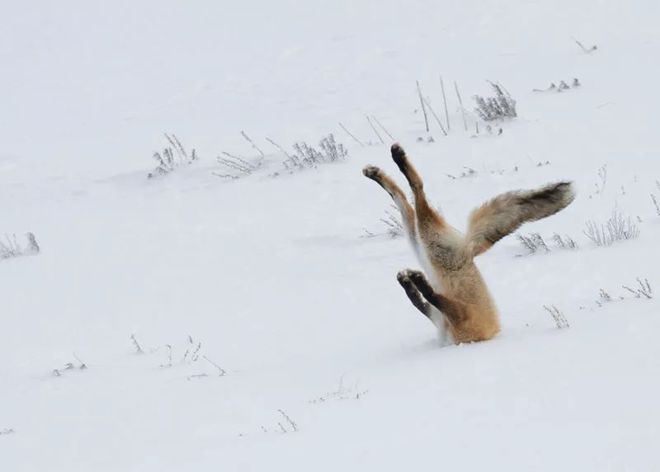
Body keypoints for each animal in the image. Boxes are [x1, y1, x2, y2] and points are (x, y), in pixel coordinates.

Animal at [364, 143, 576, 342]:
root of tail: (468, 249)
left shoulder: (459, 317)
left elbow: (429, 297)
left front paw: (416, 282)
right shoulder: (446, 317)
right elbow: (421, 300)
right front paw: (410, 282)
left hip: (428, 243)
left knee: (416, 192)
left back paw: (395, 161)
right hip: (422, 243)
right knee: (404, 198)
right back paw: (379, 171)